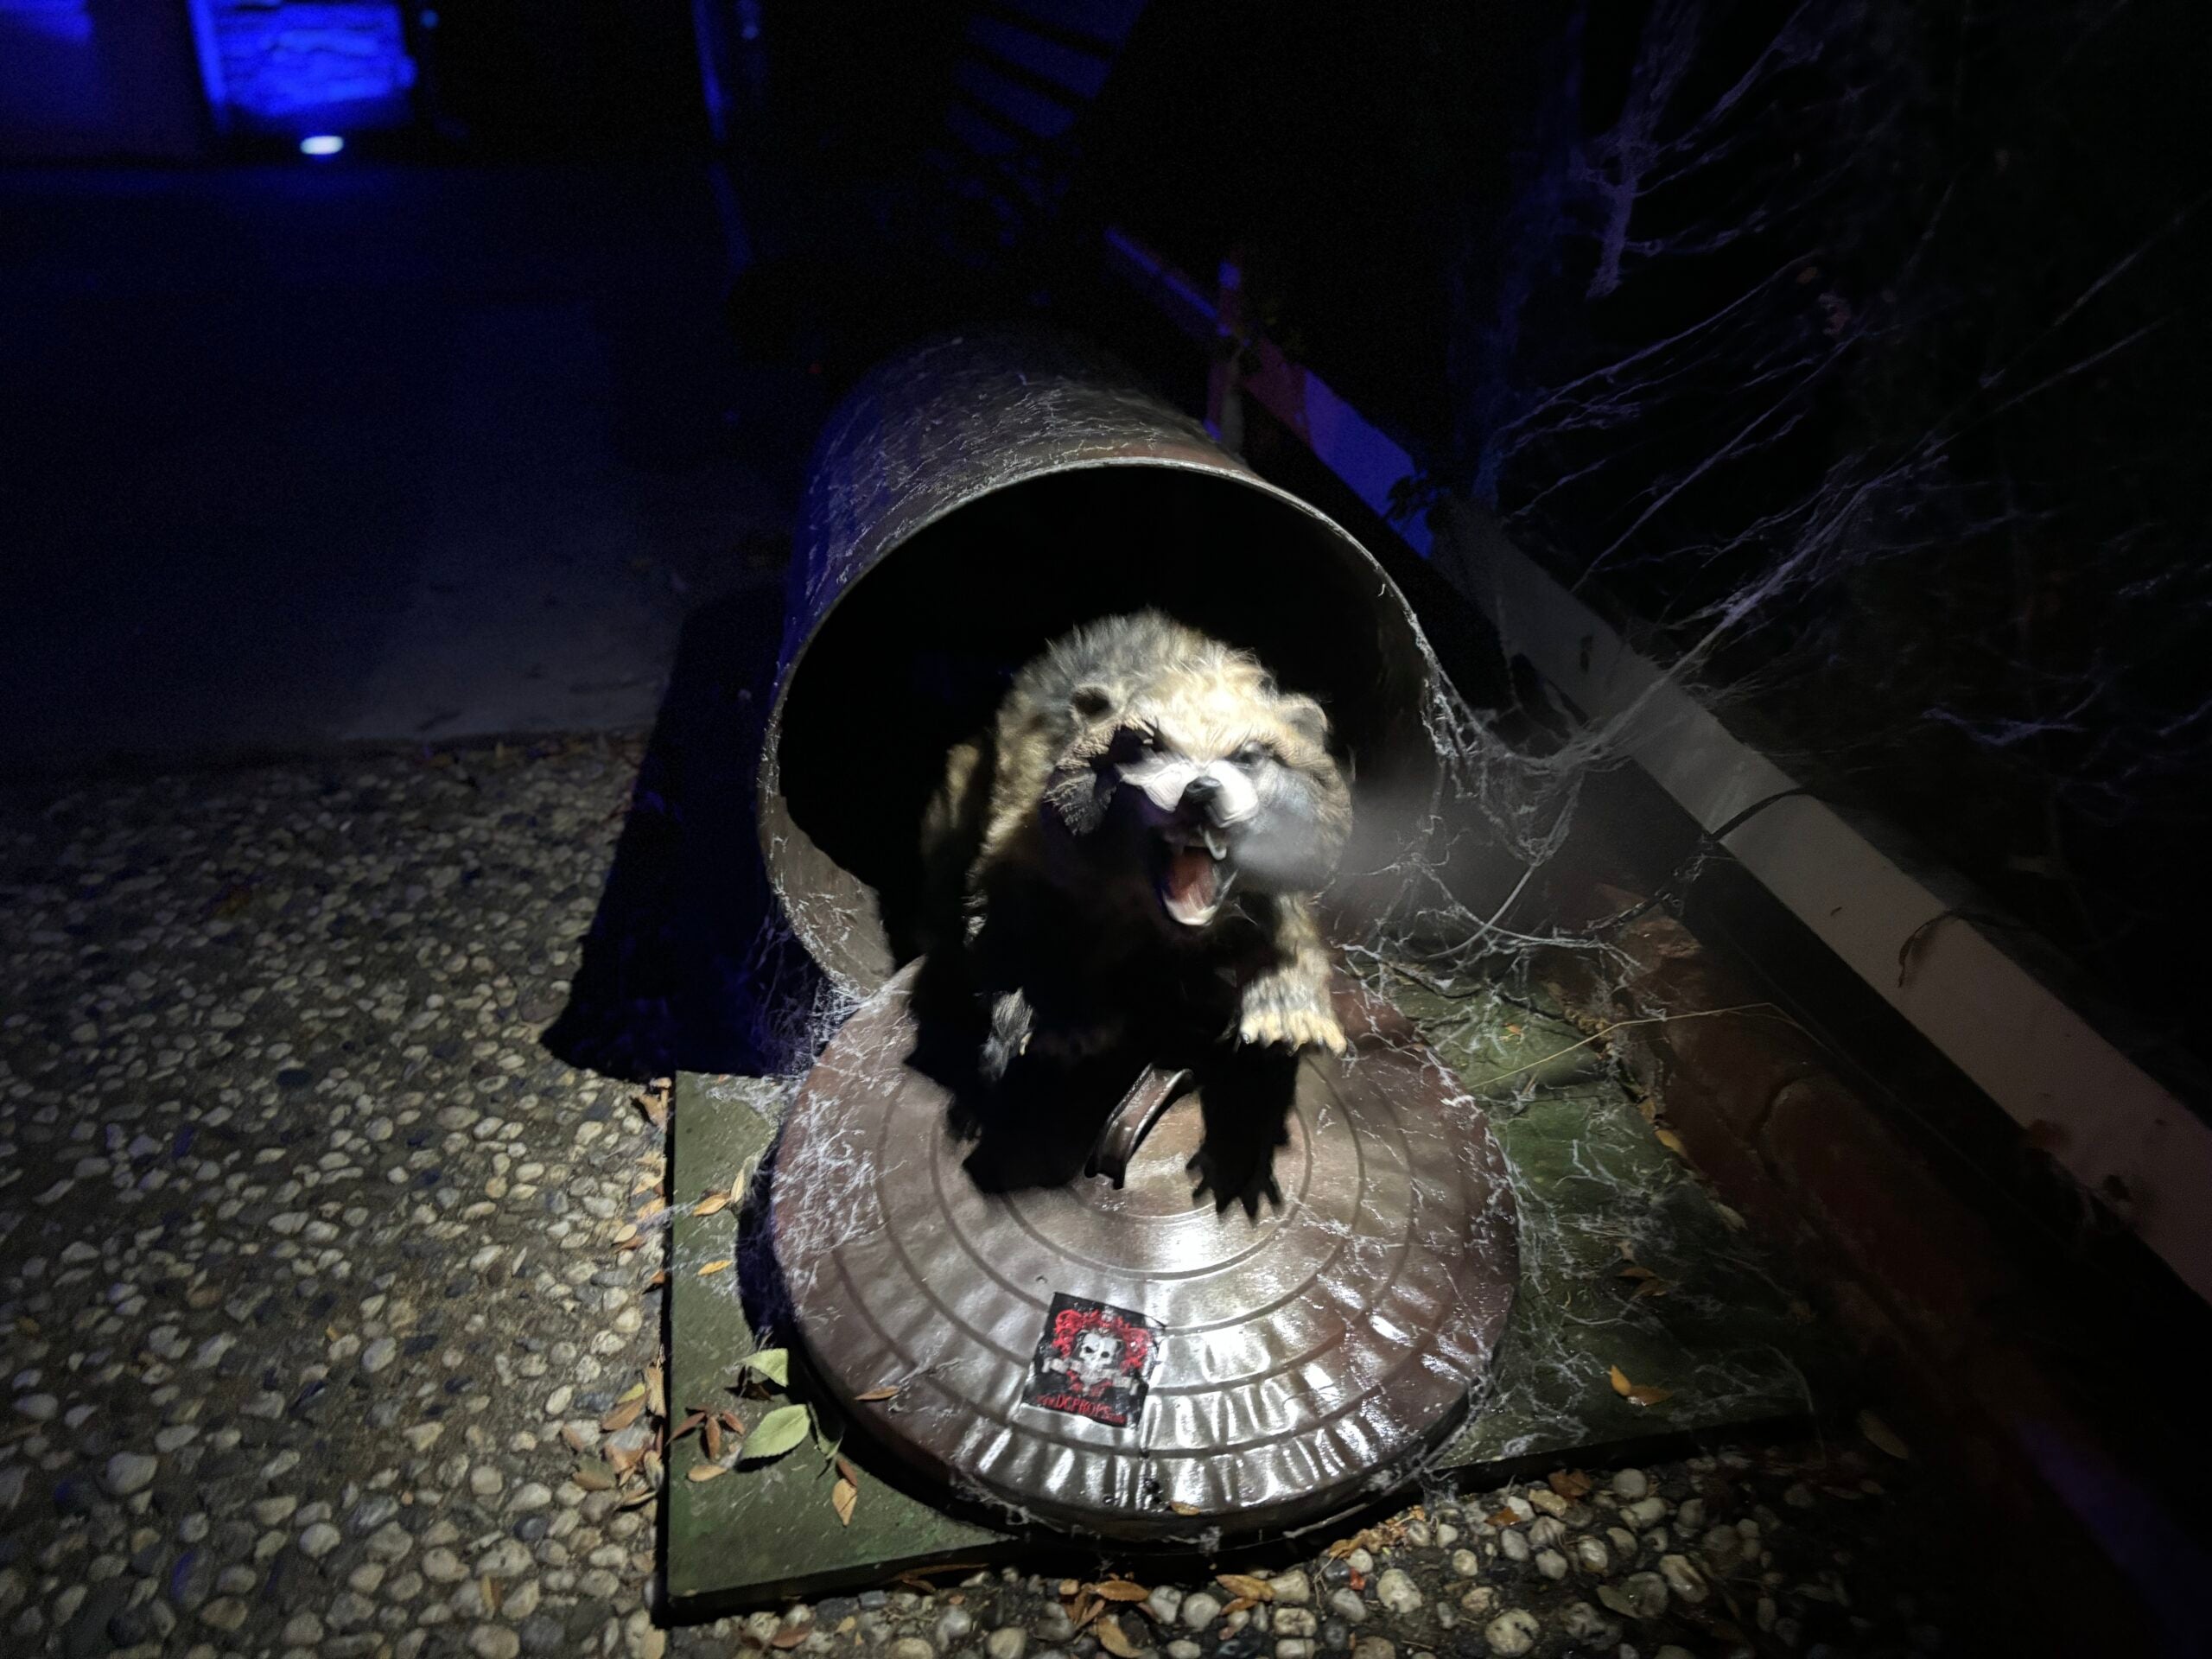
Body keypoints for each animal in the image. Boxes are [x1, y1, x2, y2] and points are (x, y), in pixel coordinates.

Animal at [913, 612, 1353, 1211]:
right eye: (1148, 746)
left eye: (1248, 755)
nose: (1200, 793)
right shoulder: (1027, 824)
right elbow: (1005, 910)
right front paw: (1059, 1017)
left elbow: (1285, 917)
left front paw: (1286, 1013)